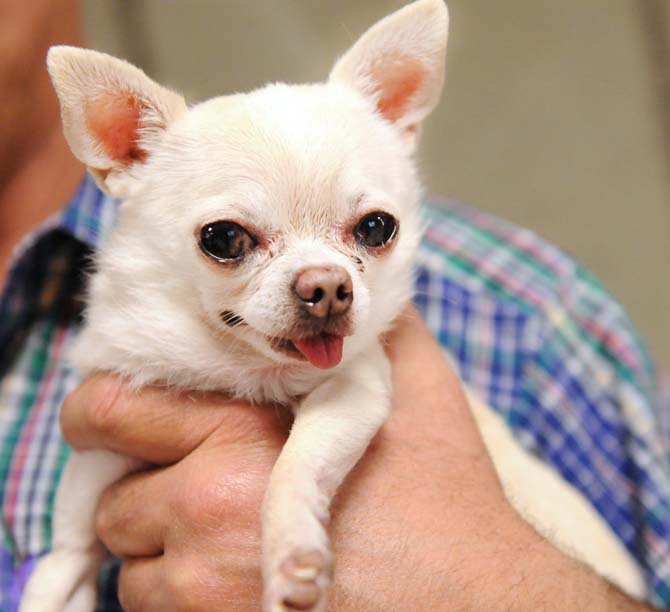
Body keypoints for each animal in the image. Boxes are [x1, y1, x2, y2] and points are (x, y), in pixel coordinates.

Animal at [21, 1, 644, 612]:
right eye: (223, 239)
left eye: (377, 227)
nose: (326, 286)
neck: (237, 368)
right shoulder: (96, 467)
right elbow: (64, 561)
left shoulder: (354, 390)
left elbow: (294, 467)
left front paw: (292, 553)